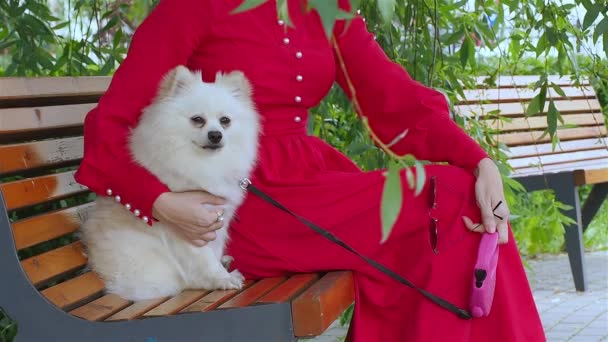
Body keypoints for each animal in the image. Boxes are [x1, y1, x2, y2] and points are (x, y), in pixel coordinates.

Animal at [79, 65, 260, 300]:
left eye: (225, 121)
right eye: (197, 119)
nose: (215, 135)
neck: (204, 164)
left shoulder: (219, 218)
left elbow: (215, 248)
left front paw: (221, 265)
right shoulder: (190, 226)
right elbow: (203, 258)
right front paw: (221, 278)